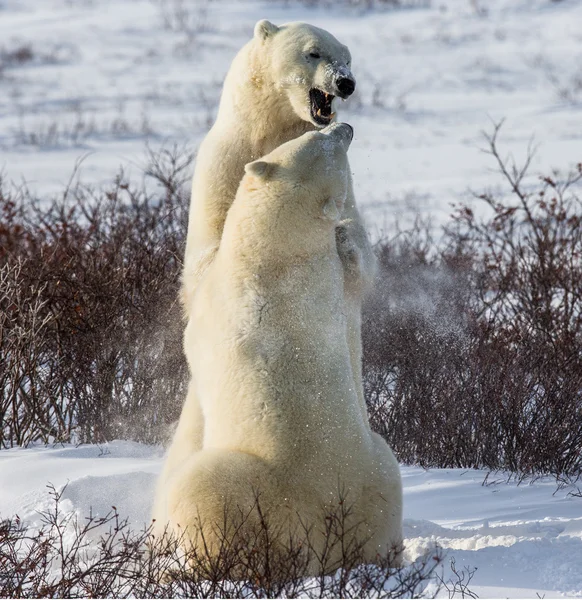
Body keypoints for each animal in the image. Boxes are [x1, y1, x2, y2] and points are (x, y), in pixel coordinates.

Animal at [153, 125, 404, 572]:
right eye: (318, 140)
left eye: (328, 146)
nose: (345, 128)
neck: (284, 252)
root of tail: (323, 531)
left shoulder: (220, 299)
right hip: (378, 472)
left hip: (247, 492)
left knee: (204, 493)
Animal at [180, 18, 378, 450]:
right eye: (313, 52)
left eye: (347, 56)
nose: (346, 82)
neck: (270, 131)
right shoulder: (222, 162)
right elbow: (205, 257)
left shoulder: (345, 180)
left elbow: (361, 262)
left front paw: (342, 238)